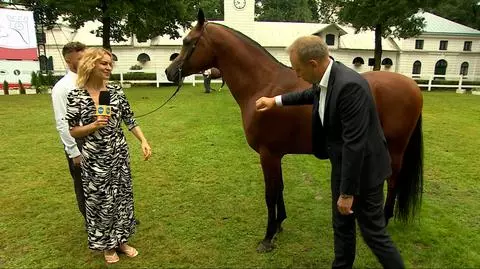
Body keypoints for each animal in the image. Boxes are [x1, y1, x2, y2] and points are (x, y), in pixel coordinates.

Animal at [165, 9, 424, 251]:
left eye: (188, 41)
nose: (170, 72)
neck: (263, 84)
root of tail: (412, 86)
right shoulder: (275, 155)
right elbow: (279, 188)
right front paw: (279, 225)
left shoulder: (268, 155)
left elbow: (270, 194)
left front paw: (268, 237)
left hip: (394, 149)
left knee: (393, 180)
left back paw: (385, 217)